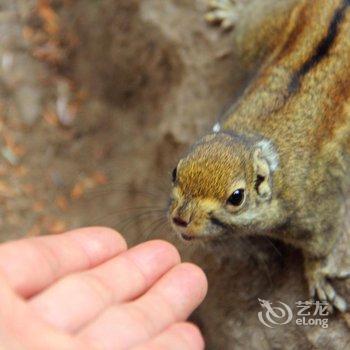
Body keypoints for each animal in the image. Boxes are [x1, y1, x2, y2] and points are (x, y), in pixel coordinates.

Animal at [168, 0, 348, 312]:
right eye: (174, 172)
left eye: (236, 197)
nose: (180, 219)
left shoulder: (319, 208)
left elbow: (321, 245)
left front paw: (317, 275)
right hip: (256, 33)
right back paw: (233, 12)